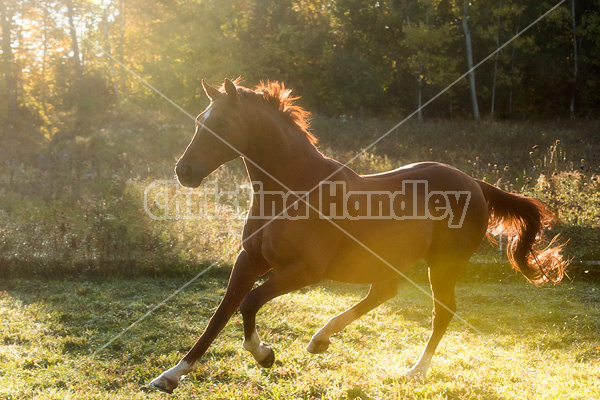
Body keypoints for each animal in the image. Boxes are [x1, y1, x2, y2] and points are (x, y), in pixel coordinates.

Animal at [148, 79, 564, 394]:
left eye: (223, 121)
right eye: (200, 120)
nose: (184, 171)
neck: (293, 189)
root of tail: (475, 184)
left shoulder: (305, 270)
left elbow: (248, 304)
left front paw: (265, 355)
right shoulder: (249, 260)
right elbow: (220, 314)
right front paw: (170, 376)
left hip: (444, 265)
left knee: (441, 312)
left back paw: (414, 370)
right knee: (384, 293)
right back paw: (321, 339)